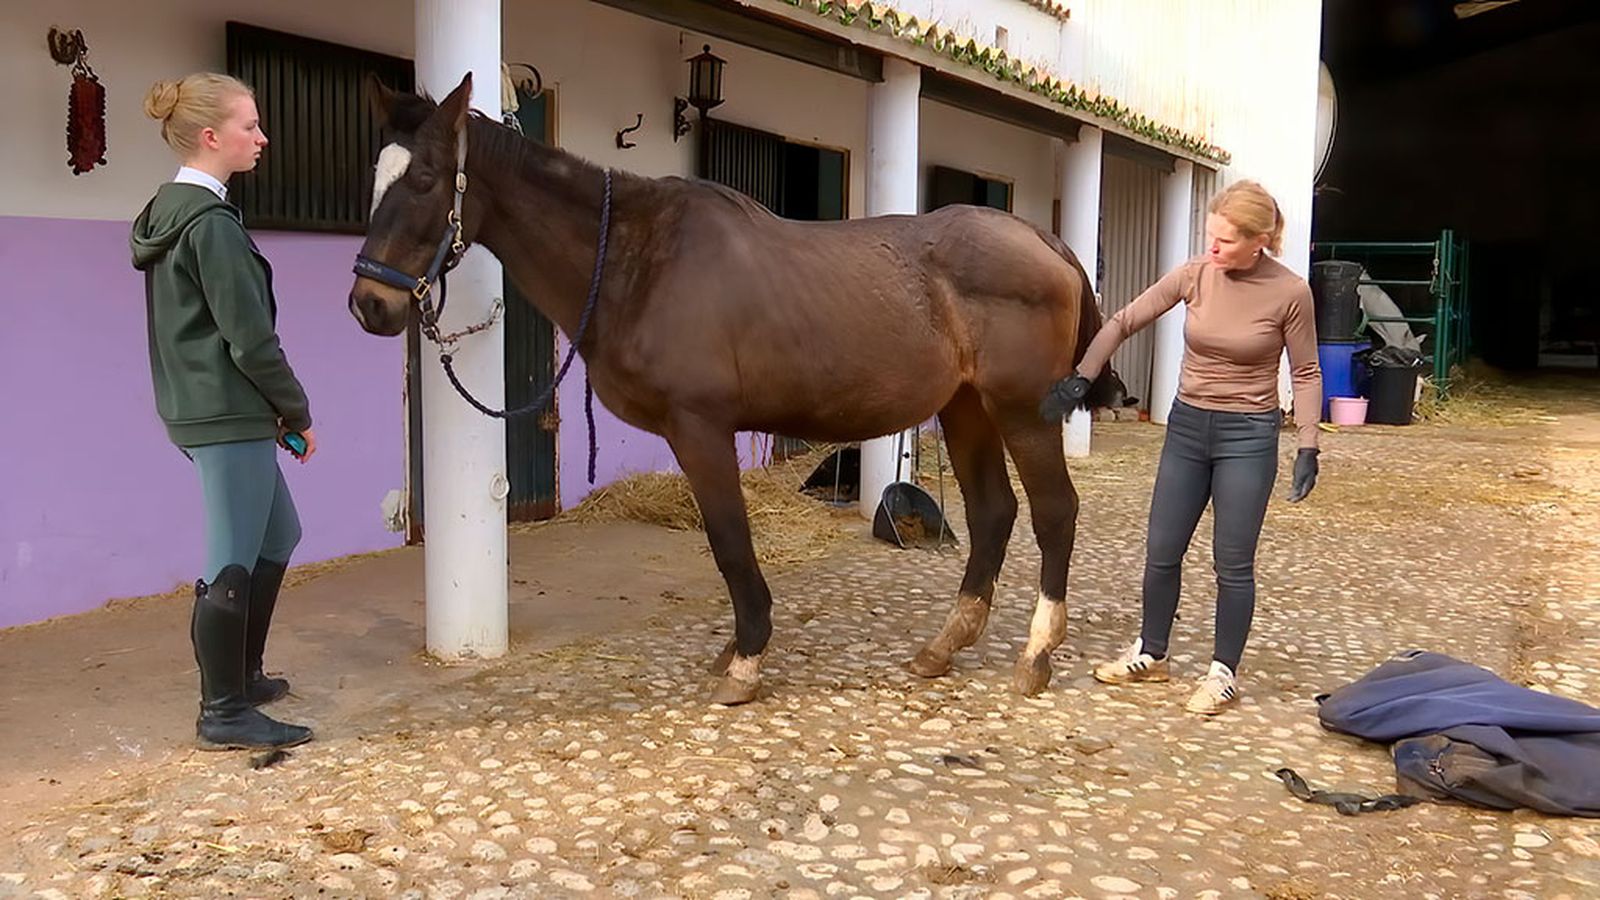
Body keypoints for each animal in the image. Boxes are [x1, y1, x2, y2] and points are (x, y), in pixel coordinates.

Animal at [349, 73, 1120, 705]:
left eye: (425, 179)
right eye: (375, 178)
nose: (369, 305)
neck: (638, 259)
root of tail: (1046, 242)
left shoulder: (700, 429)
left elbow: (728, 539)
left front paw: (746, 659)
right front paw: (737, 650)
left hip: (1020, 411)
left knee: (1054, 512)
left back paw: (1036, 654)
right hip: (966, 410)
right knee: (993, 514)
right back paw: (943, 647)